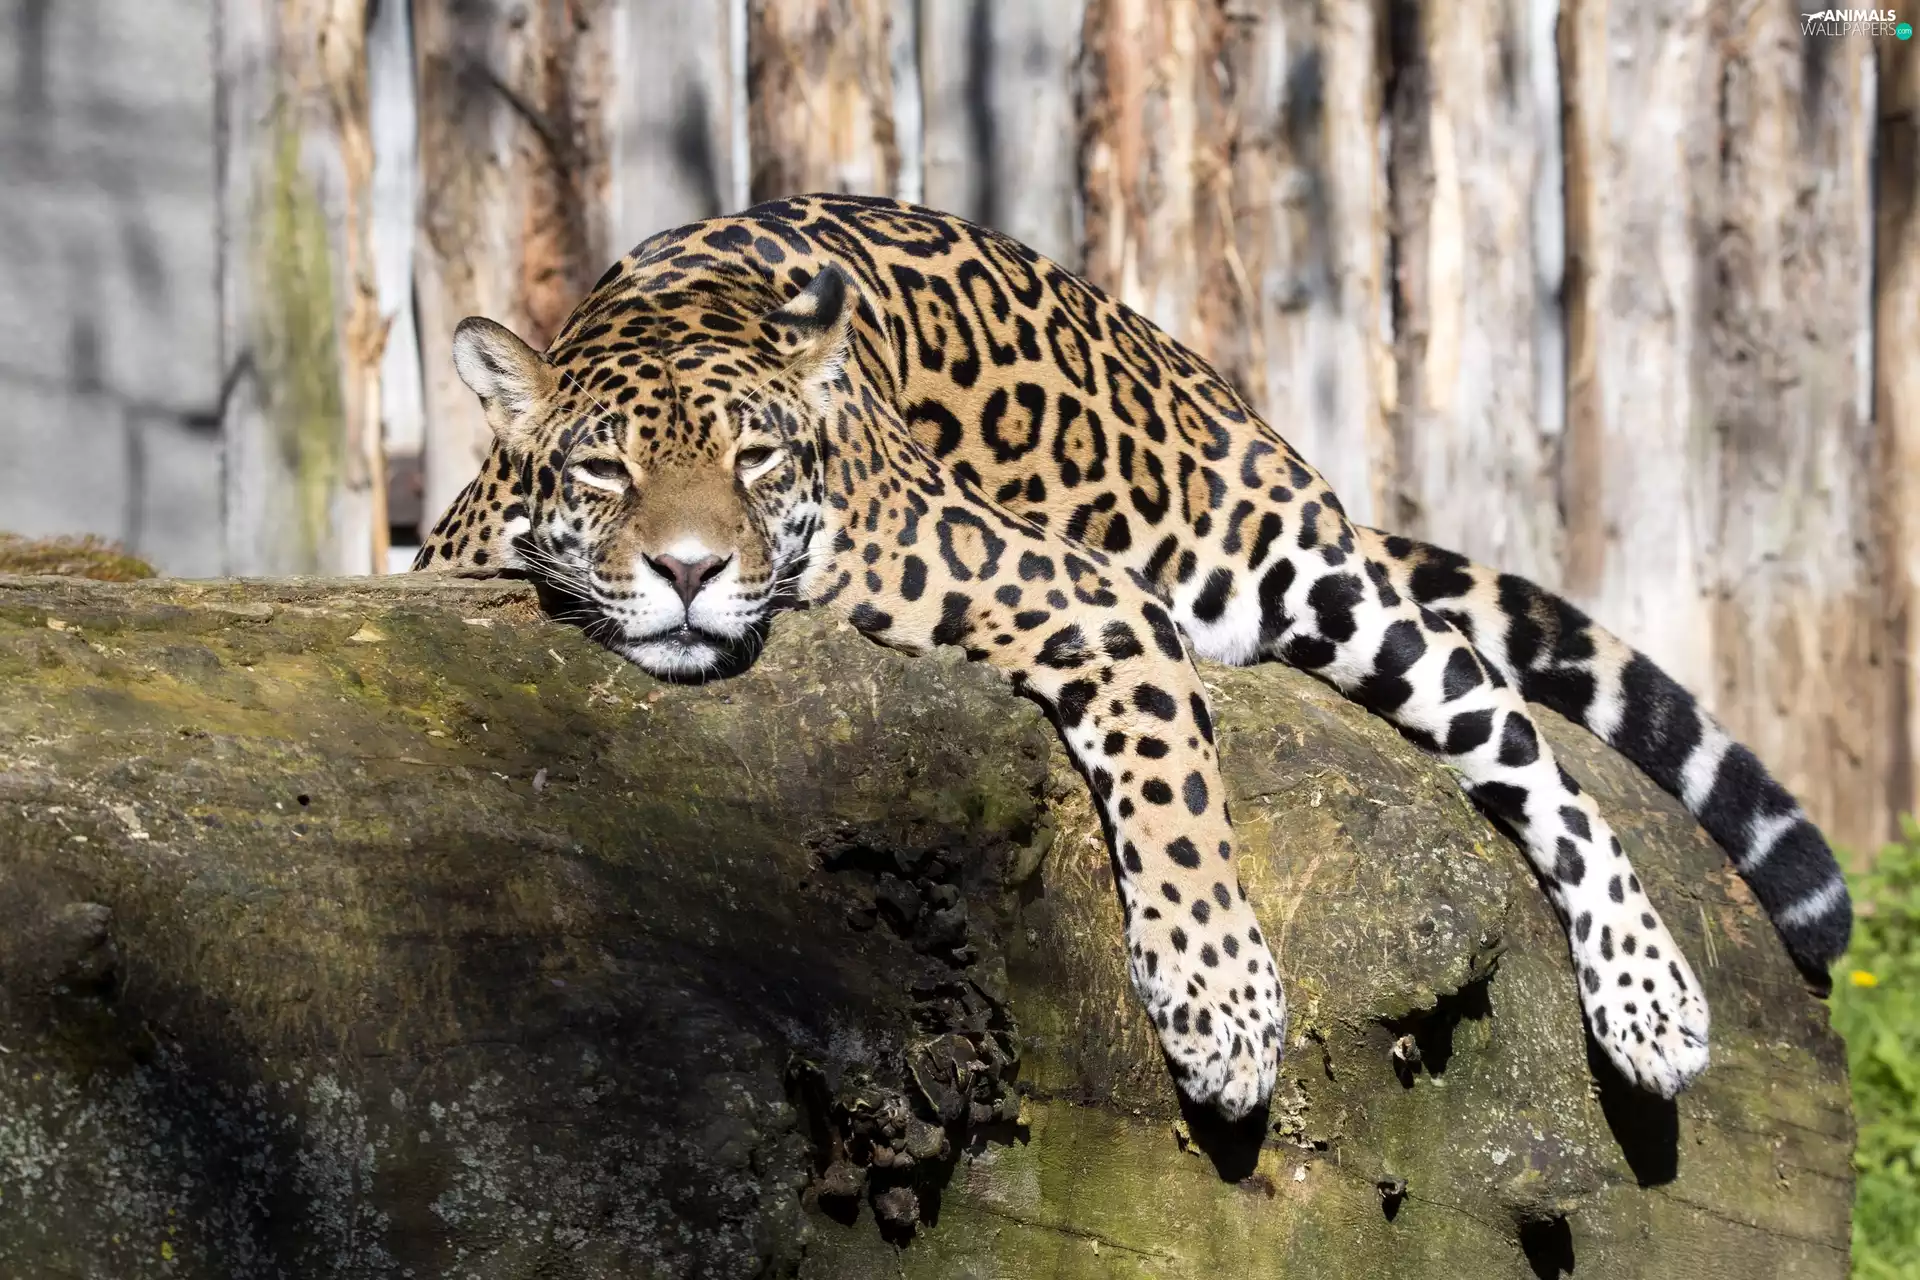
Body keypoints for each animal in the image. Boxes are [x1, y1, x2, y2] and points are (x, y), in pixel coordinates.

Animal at [413, 193, 1850, 1122]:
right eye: (605, 472)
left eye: (757, 460)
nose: (691, 570)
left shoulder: (1084, 594)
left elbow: (1177, 791)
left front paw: (1222, 1005)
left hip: (1312, 573)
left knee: (1515, 734)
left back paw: (1649, 993)